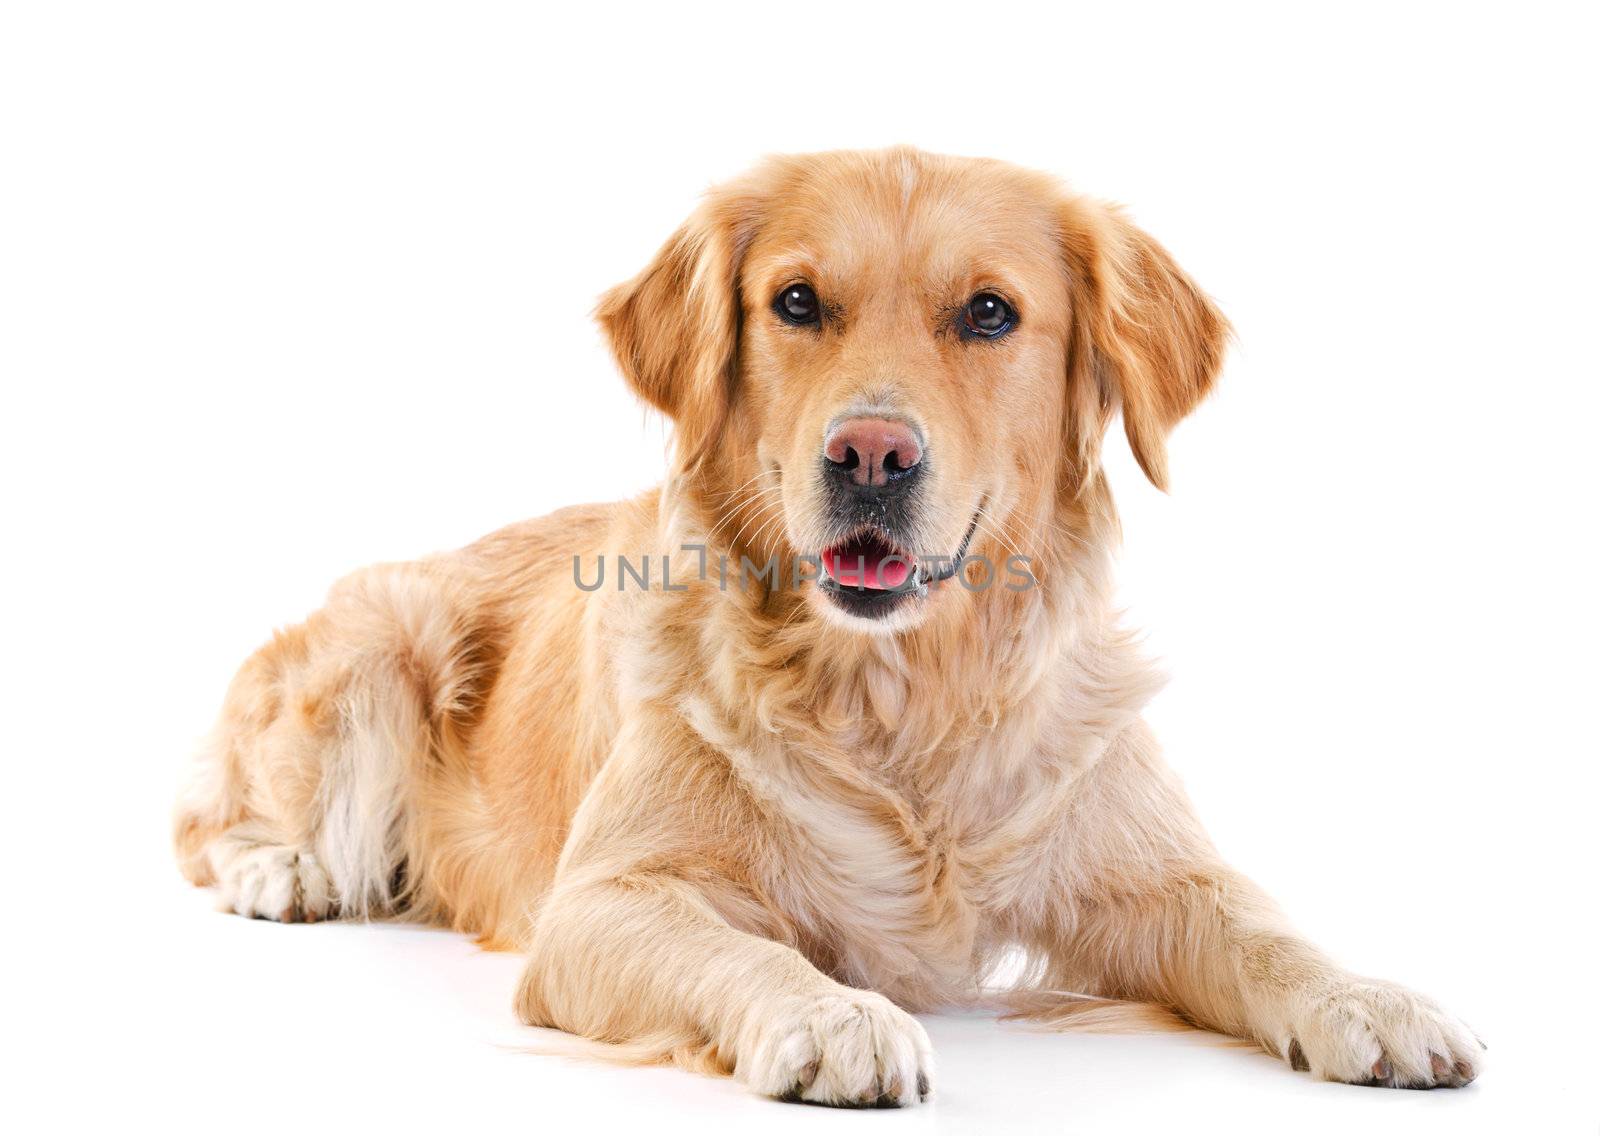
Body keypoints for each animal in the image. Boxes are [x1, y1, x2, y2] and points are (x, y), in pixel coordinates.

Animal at [168, 147, 1478, 1107]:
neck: (898, 694)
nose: (872, 454)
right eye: (796, 301)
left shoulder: (1148, 873)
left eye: (989, 313)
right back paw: (281, 866)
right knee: (206, 821)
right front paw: (829, 1011)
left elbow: (1263, 928)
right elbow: (744, 947)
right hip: (379, 652)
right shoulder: (599, 902)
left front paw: (1373, 996)